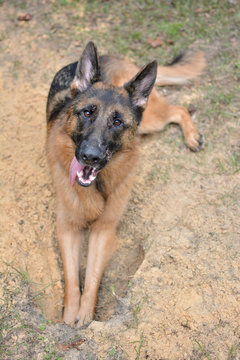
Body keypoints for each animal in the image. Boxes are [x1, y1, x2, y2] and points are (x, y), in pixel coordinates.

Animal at [46, 41, 205, 326]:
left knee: (178, 109)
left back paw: (192, 136)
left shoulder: (103, 230)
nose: (90, 156)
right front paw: (69, 316)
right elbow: (72, 279)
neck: (97, 186)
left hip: (151, 119)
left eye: (117, 122)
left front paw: (86, 317)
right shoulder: (67, 228)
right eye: (87, 112)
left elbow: (92, 278)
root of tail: (111, 57)